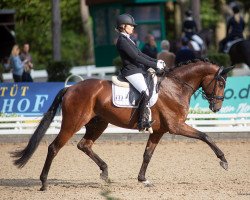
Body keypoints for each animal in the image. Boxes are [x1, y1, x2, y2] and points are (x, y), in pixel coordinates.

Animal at [11, 58, 234, 190]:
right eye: (221, 83)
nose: (217, 107)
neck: (175, 87)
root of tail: (70, 88)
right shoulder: (176, 126)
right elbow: (205, 136)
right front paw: (223, 160)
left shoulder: (159, 131)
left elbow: (147, 154)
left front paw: (143, 179)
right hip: (73, 122)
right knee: (54, 147)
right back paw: (44, 183)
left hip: (98, 123)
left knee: (84, 145)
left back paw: (105, 172)